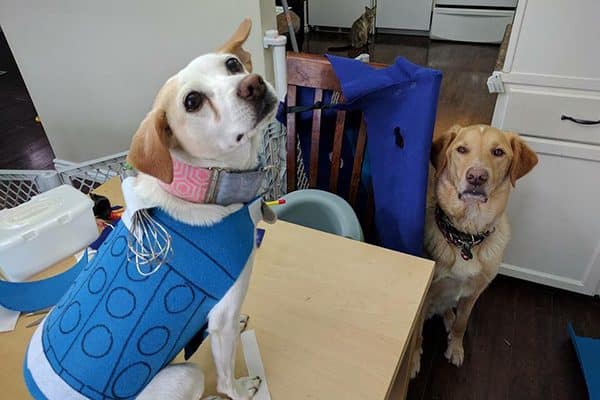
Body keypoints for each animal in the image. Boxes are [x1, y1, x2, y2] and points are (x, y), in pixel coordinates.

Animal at [410, 125, 536, 378]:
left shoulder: (474, 293)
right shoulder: (428, 293)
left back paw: (449, 319)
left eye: (498, 152)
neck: (466, 237)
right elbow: (417, 334)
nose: (477, 177)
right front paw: (414, 360)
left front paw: (456, 348)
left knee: (449, 311)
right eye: (461, 149)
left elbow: (463, 323)